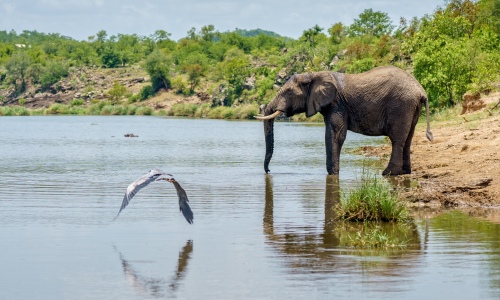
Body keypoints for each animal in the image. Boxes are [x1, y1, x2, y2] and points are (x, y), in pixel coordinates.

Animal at [256, 64, 432, 175]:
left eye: (289, 93)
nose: (269, 171)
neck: (315, 74)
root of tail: (421, 91)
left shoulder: (337, 104)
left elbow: (335, 134)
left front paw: (333, 174)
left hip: (400, 106)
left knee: (397, 139)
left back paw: (388, 173)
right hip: (411, 108)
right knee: (408, 138)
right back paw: (405, 172)